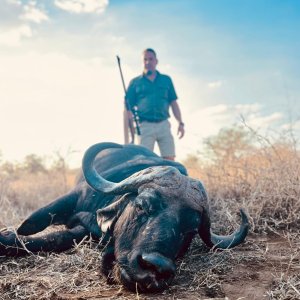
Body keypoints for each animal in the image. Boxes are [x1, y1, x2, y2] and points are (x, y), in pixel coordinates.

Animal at [0, 142, 248, 292]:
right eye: (142, 204)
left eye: (190, 230)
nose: (155, 268)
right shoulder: (73, 196)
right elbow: (36, 221)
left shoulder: (85, 231)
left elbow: (55, 238)